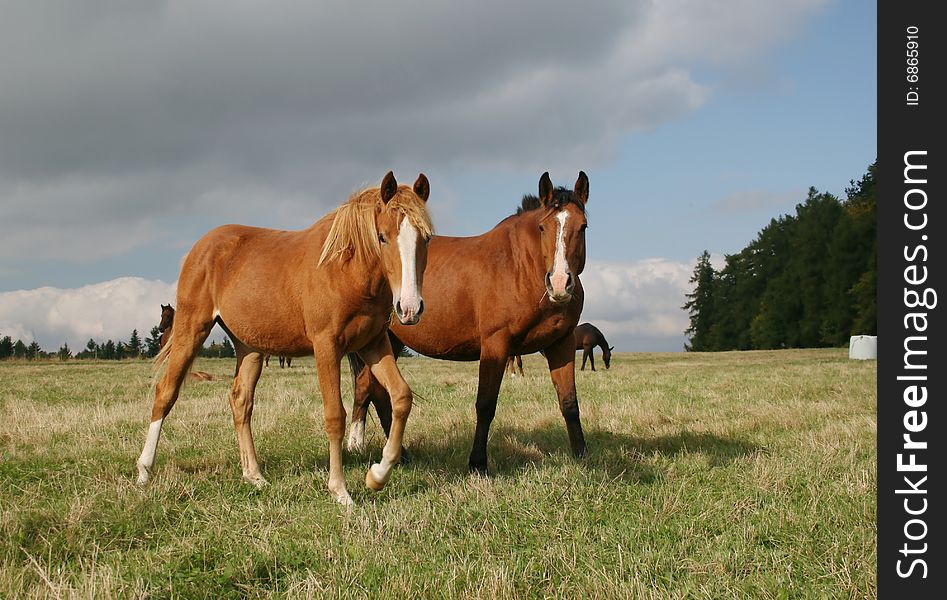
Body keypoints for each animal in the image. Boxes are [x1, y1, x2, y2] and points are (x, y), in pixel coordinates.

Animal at [139, 171, 436, 504]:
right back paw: (144, 472)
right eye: (382, 237)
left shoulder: (373, 345)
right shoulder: (327, 346)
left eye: (426, 238)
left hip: (250, 347)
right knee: (166, 393)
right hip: (191, 329)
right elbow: (335, 415)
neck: (344, 269)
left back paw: (254, 476)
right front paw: (340, 491)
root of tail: (199, 248)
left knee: (240, 400)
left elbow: (401, 397)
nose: (409, 308)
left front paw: (377, 475)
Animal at [348, 170, 588, 474]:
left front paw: (582, 455)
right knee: (370, 390)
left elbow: (569, 403)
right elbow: (485, 405)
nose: (559, 283)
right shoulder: (495, 344)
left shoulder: (562, 343)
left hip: (387, 340)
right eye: (543, 228)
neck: (520, 268)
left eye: (583, 227)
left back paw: (395, 454)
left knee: (371, 390)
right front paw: (478, 463)